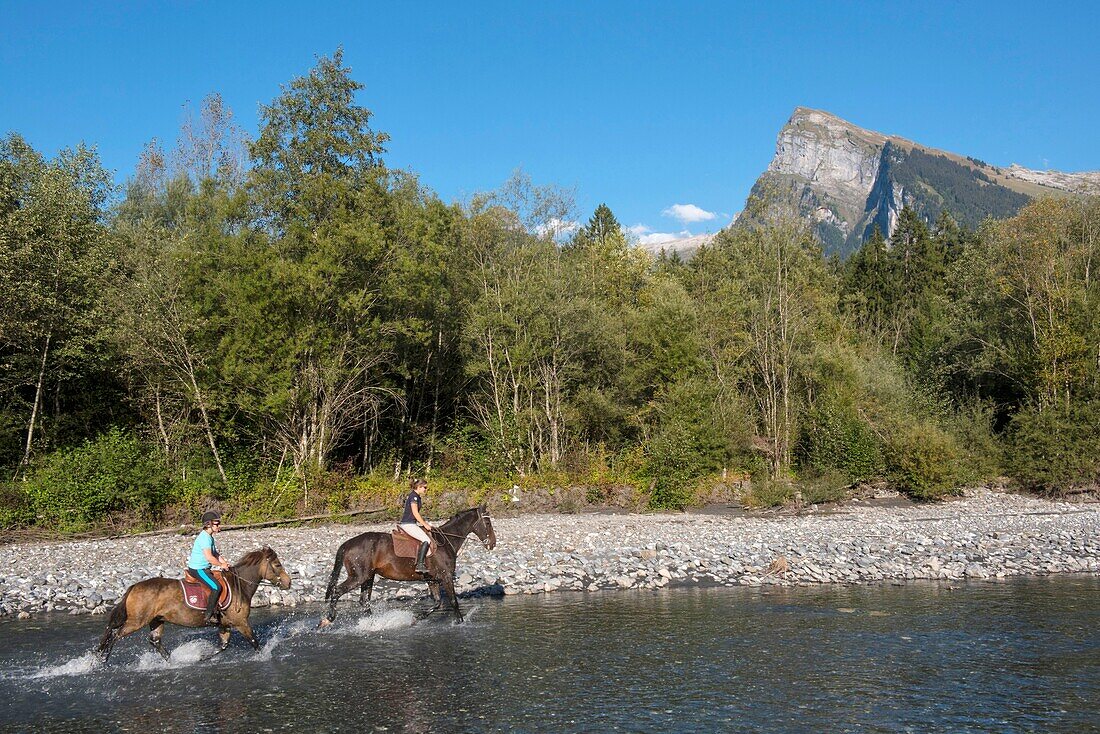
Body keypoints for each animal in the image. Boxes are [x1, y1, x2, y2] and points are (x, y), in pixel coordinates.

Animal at [97, 548, 292, 664]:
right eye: (277, 564)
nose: (288, 582)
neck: (240, 585)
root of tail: (134, 587)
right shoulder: (241, 623)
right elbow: (254, 642)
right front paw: (265, 656)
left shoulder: (225, 625)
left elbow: (223, 646)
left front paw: (200, 657)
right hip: (137, 621)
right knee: (115, 634)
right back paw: (103, 658)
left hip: (156, 620)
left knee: (154, 641)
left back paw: (171, 661)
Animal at [321, 508, 497, 629]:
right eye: (488, 523)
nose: (492, 544)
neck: (446, 541)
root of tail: (347, 544)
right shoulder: (446, 577)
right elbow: (453, 602)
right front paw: (460, 623)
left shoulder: (432, 580)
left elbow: (437, 603)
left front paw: (415, 619)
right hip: (358, 577)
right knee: (338, 591)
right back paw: (328, 619)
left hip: (368, 577)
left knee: (364, 601)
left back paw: (375, 622)